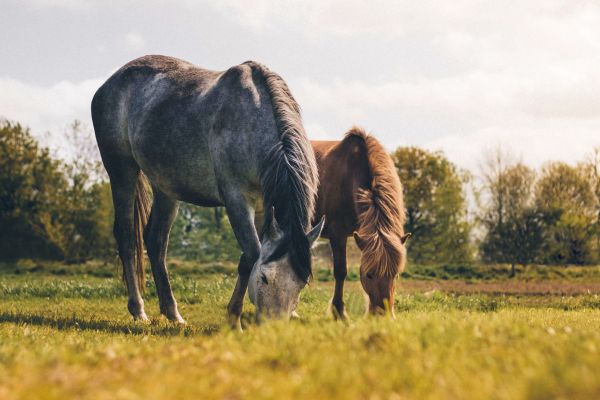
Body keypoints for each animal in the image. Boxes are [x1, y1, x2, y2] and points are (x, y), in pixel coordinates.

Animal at [90, 54, 324, 328]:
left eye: (301, 284)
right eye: (265, 278)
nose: (273, 328)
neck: (252, 120)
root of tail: (109, 83)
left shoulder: (263, 207)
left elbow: (247, 259)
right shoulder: (236, 200)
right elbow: (252, 254)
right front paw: (234, 319)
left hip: (165, 187)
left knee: (156, 242)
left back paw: (173, 313)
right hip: (122, 172)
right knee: (128, 238)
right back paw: (138, 310)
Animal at [312, 126, 410, 318]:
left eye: (395, 275)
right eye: (369, 275)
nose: (383, 315)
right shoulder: (337, 234)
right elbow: (340, 271)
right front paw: (339, 312)